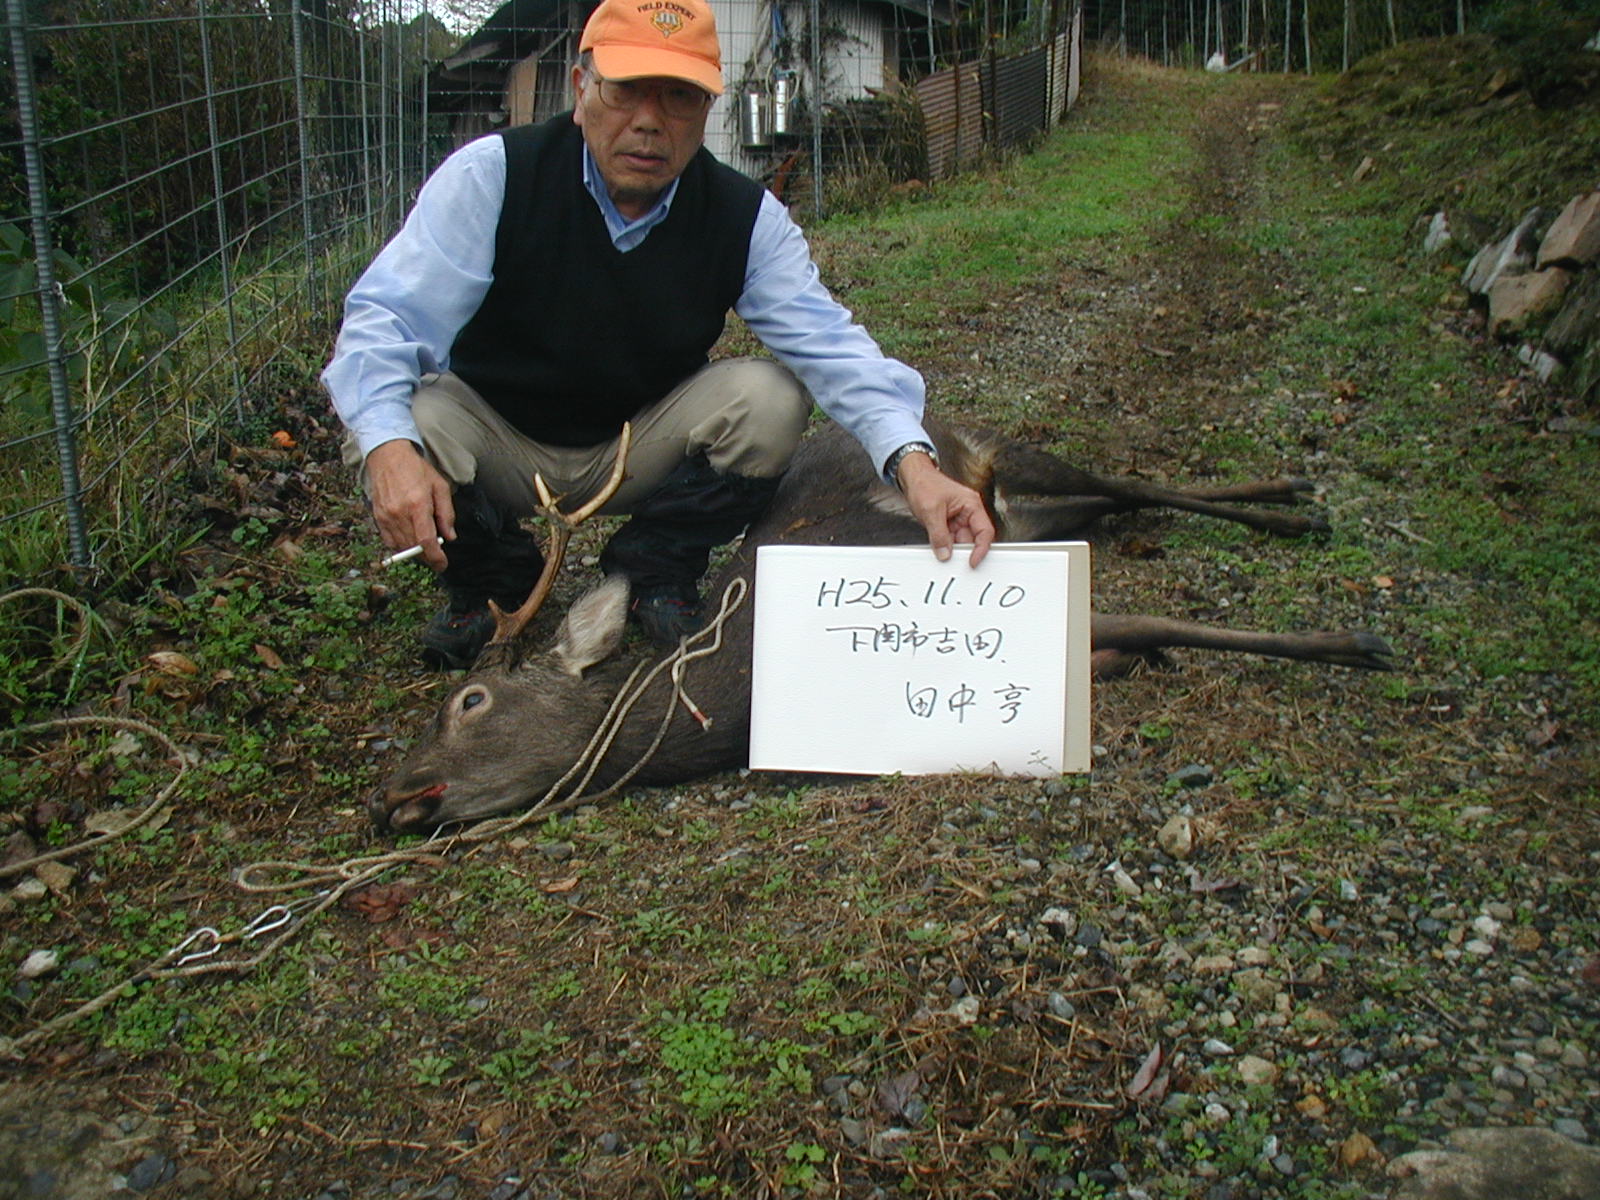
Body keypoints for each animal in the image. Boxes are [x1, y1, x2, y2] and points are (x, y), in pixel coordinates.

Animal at [370, 419, 1395, 833]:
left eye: (468, 701)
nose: (389, 795)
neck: (731, 691)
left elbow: (1169, 618)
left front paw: (1354, 644)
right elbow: (1140, 634)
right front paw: (1127, 661)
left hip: (1019, 466)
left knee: (1133, 479)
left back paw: (1297, 506)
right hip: (1039, 516)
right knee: (1121, 497)